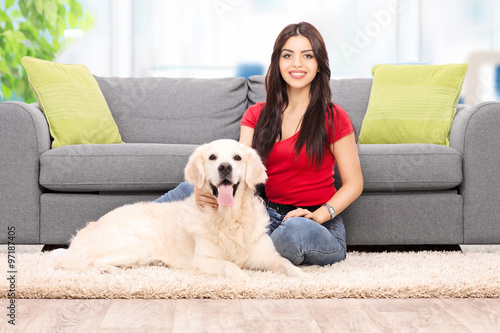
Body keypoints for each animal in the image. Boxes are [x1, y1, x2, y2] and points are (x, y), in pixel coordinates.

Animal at [55, 137, 304, 278]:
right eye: (212, 157)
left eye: (237, 157)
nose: (225, 167)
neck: (228, 219)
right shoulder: (203, 259)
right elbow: (231, 267)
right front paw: (244, 277)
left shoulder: (265, 254)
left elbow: (286, 263)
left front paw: (302, 276)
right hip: (137, 242)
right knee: (94, 262)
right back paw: (115, 271)